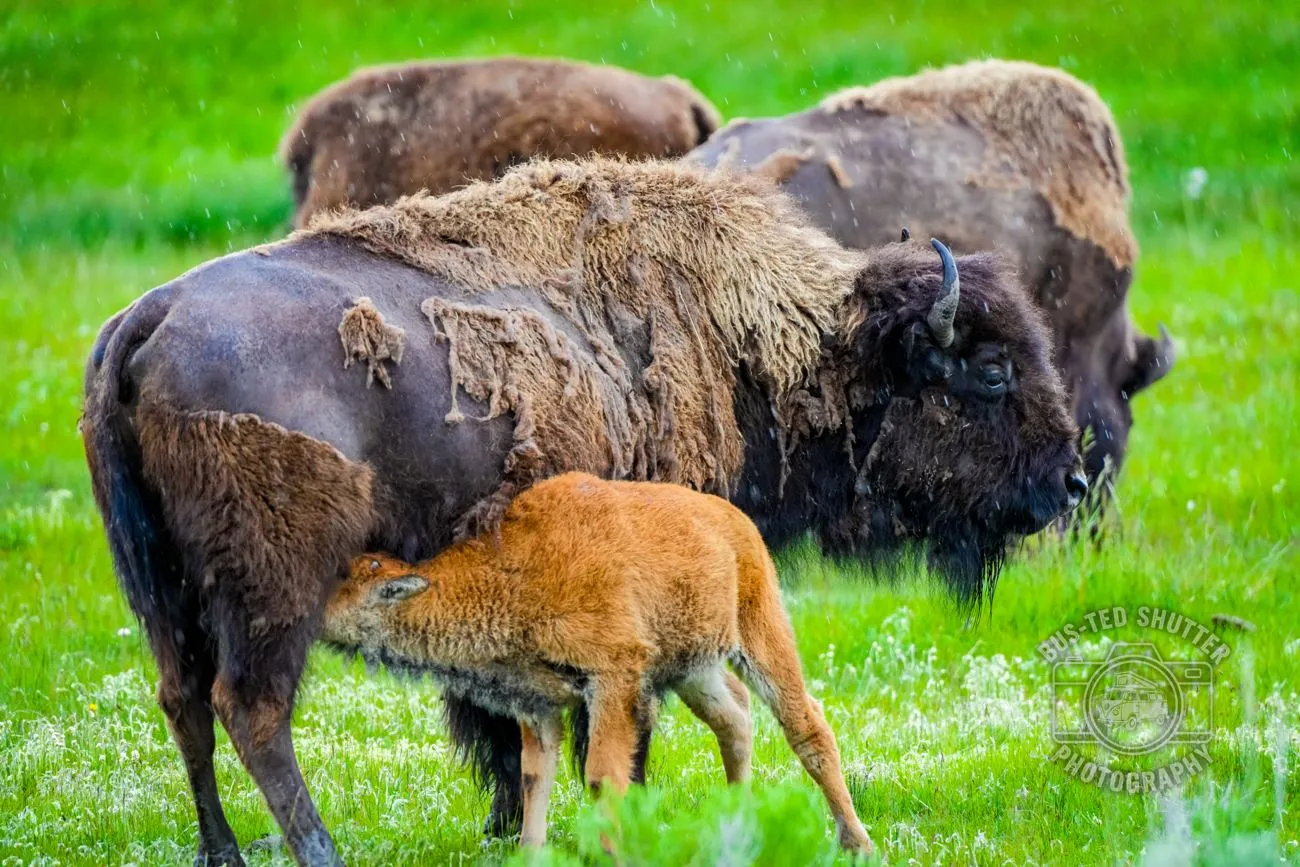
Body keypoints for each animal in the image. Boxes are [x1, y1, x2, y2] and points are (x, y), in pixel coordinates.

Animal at [82, 158, 1083, 866]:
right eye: (992, 371)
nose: (1071, 483)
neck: (762, 341)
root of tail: (144, 322)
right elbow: (609, 727)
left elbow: (511, 723)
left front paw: (507, 826)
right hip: (272, 593)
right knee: (251, 709)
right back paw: (318, 850)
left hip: (158, 588)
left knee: (181, 699)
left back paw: (221, 851)